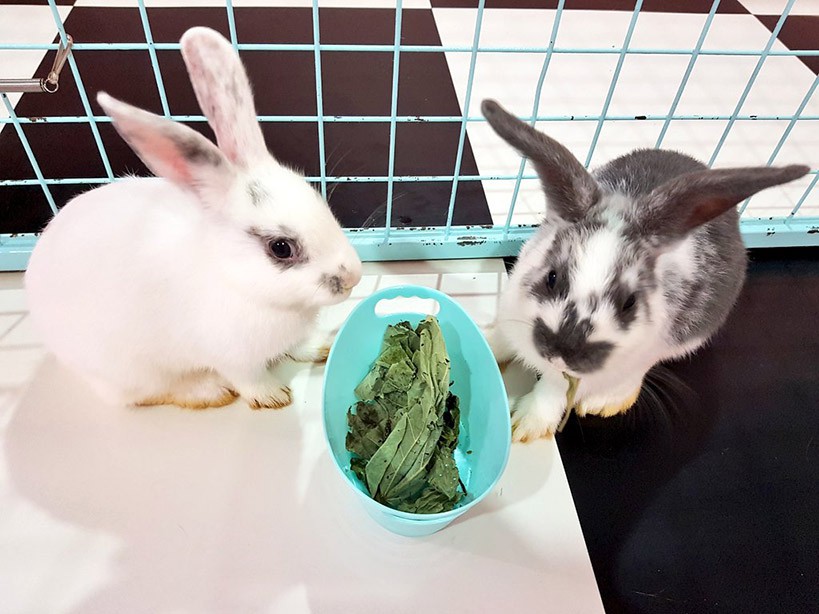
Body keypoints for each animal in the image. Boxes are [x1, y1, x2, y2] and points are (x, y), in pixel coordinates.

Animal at [24, 27, 362, 410]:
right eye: (281, 248)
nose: (353, 276)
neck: (240, 282)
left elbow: (297, 346)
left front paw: (320, 347)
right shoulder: (233, 357)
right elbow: (249, 379)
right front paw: (273, 396)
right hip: (130, 371)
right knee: (149, 393)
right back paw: (209, 391)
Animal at [481, 99, 810, 442]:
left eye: (630, 303)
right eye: (552, 277)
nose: (563, 351)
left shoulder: (574, 376)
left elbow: (550, 393)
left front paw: (523, 426)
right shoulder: (511, 312)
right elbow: (501, 338)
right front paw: (485, 341)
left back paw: (605, 403)